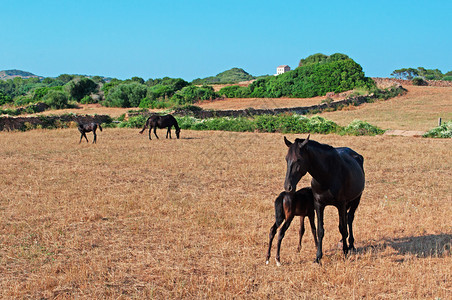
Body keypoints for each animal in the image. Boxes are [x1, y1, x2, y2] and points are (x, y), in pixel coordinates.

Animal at [284, 135, 366, 264]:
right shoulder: (319, 205)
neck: (327, 175)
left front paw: (345, 251)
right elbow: (320, 230)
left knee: (350, 218)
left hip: (356, 199)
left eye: (299, 159)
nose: (288, 186)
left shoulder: (341, 205)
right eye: (286, 159)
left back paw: (351, 245)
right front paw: (318, 257)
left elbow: (342, 228)